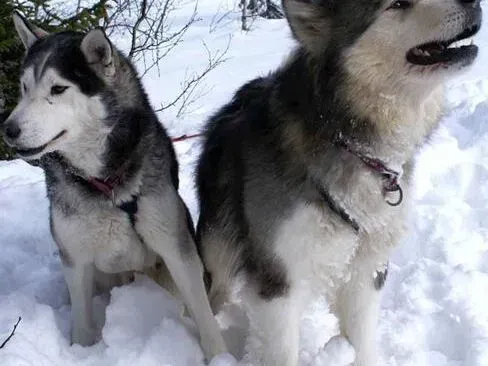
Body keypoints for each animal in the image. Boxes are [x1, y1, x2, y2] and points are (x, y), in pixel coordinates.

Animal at [3, 11, 227, 360]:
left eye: (58, 89)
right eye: (24, 88)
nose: (8, 130)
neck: (105, 183)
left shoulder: (175, 247)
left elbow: (204, 315)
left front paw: (220, 357)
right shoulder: (76, 258)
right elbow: (82, 323)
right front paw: (80, 353)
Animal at [196, 0, 482, 364]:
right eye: (397, 4)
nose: (473, 2)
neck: (347, 137)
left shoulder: (366, 270)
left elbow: (362, 339)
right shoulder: (279, 277)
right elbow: (281, 348)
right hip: (219, 251)